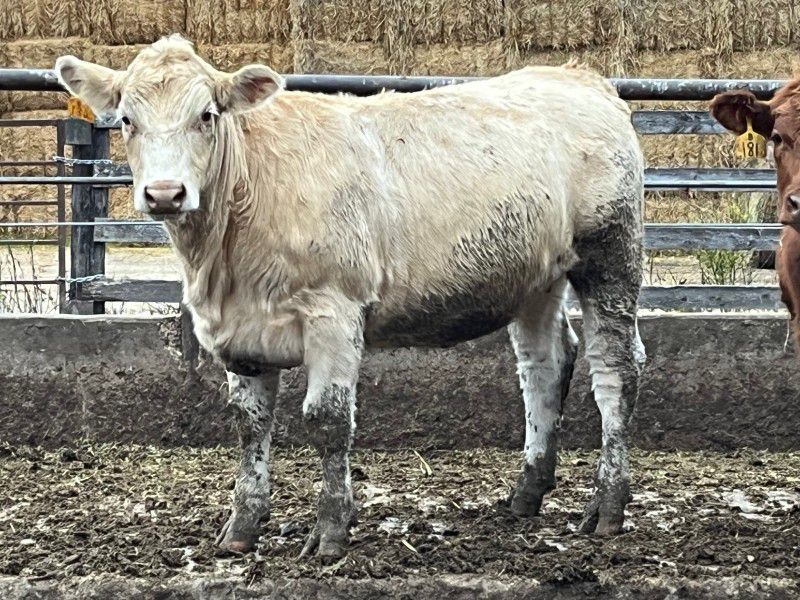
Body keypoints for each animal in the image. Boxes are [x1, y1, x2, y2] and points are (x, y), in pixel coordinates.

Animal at [55, 35, 646, 560]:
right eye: (126, 119)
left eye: (206, 115)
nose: (164, 193)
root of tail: (578, 76)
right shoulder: (238, 333)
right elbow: (249, 424)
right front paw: (242, 527)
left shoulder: (334, 312)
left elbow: (328, 420)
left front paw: (332, 531)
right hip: (534, 279)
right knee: (544, 366)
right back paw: (525, 494)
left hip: (611, 257)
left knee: (616, 370)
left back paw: (607, 506)